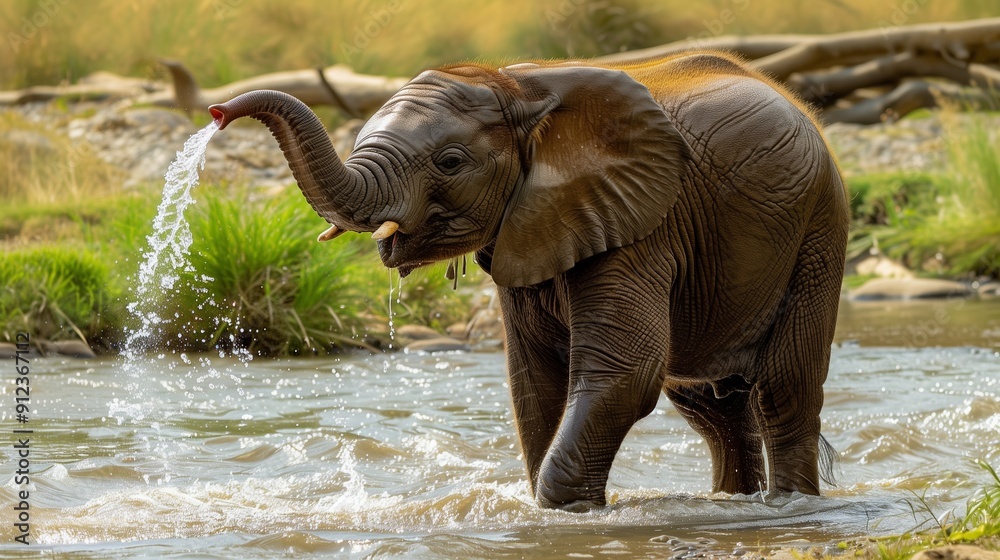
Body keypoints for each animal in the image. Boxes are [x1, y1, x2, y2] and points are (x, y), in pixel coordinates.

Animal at [208, 51, 849, 511]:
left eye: (450, 162)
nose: (218, 113)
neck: (518, 86)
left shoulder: (640, 224)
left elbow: (625, 372)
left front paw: (564, 514)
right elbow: (532, 383)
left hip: (818, 230)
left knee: (782, 388)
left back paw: (788, 506)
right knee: (710, 406)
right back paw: (730, 502)